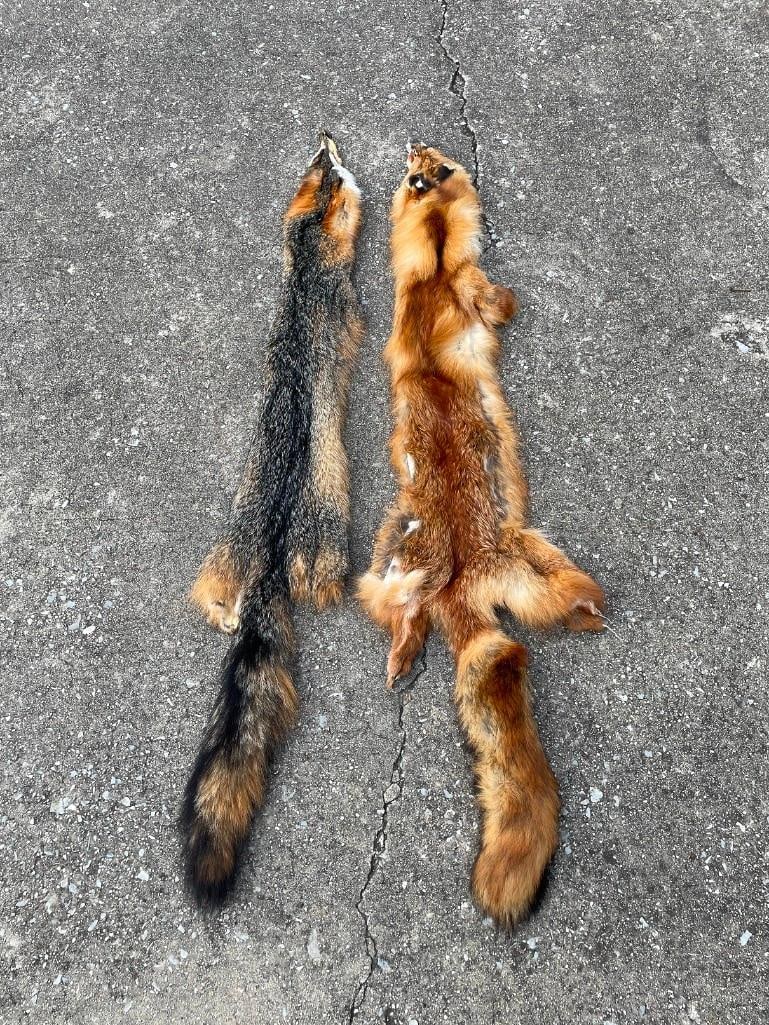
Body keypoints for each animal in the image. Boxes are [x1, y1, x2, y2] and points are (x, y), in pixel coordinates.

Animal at [358, 141, 605, 927]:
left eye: (430, 157)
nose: (413, 149)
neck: (436, 260)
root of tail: (463, 580)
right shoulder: (453, 287)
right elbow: (488, 297)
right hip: (521, 563)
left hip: (408, 561)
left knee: (408, 616)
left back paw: (406, 654)